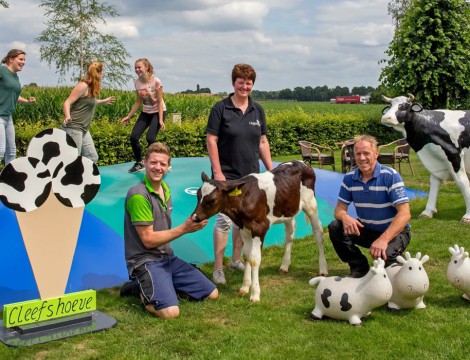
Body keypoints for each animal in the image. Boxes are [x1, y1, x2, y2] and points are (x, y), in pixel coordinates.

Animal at [191, 160, 326, 300]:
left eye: (212, 200)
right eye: (198, 195)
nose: (195, 217)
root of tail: (301, 162)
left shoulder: (260, 227)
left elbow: (255, 259)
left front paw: (255, 293)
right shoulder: (244, 228)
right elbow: (246, 256)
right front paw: (244, 287)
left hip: (311, 204)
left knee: (318, 233)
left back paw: (323, 269)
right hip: (287, 209)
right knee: (290, 233)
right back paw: (284, 266)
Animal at [384, 95, 470, 225]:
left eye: (404, 106)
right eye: (389, 106)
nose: (385, 118)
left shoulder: (454, 155)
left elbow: (462, 182)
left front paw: (467, 216)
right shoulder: (436, 160)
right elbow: (434, 183)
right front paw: (427, 212)